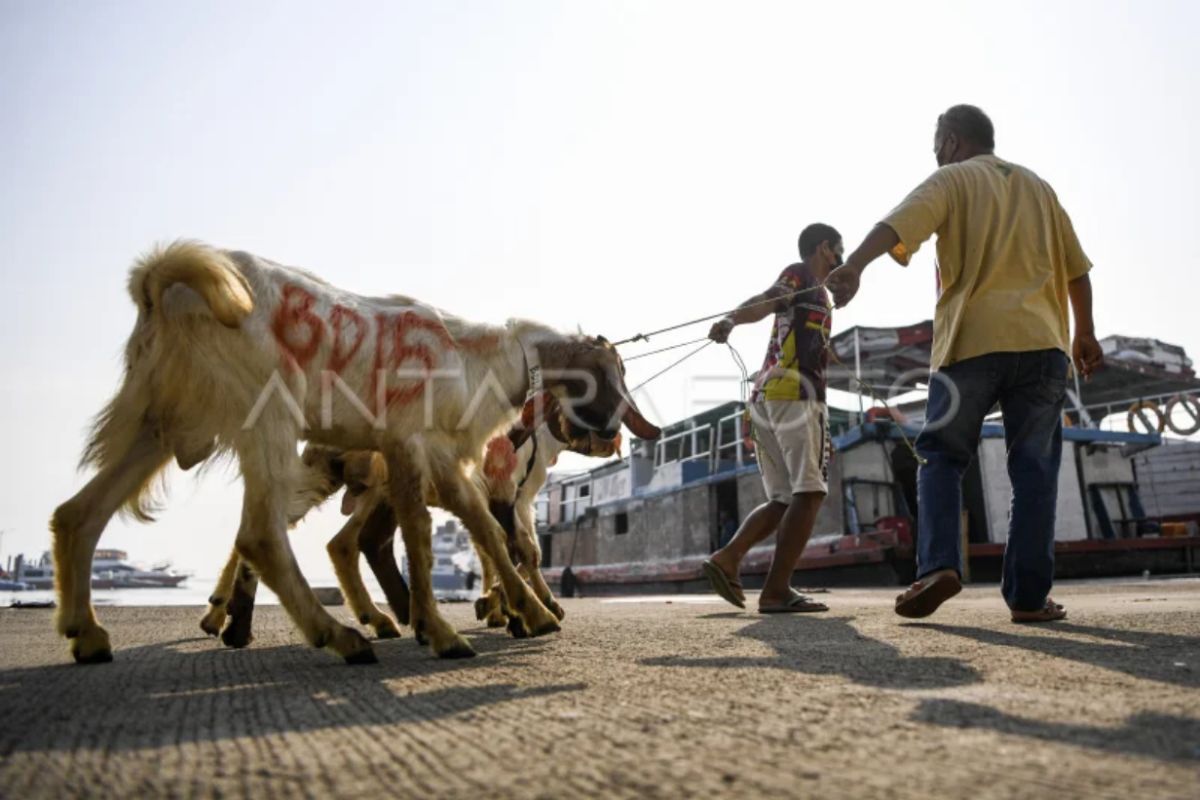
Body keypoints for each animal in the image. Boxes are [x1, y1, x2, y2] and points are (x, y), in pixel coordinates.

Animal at [51, 241, 662, 666]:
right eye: (616, 374)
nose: (617, 435)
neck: (479, 358)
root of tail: (163, 285)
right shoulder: (408, 444)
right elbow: (422, 536)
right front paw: (444, 631)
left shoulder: (439, 456)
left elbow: (483, 531)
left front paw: (530, 612)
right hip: (267, 416)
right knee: (260, 536)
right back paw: (339, 635)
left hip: (155, 423)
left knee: (78, 514)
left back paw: (90, 634)